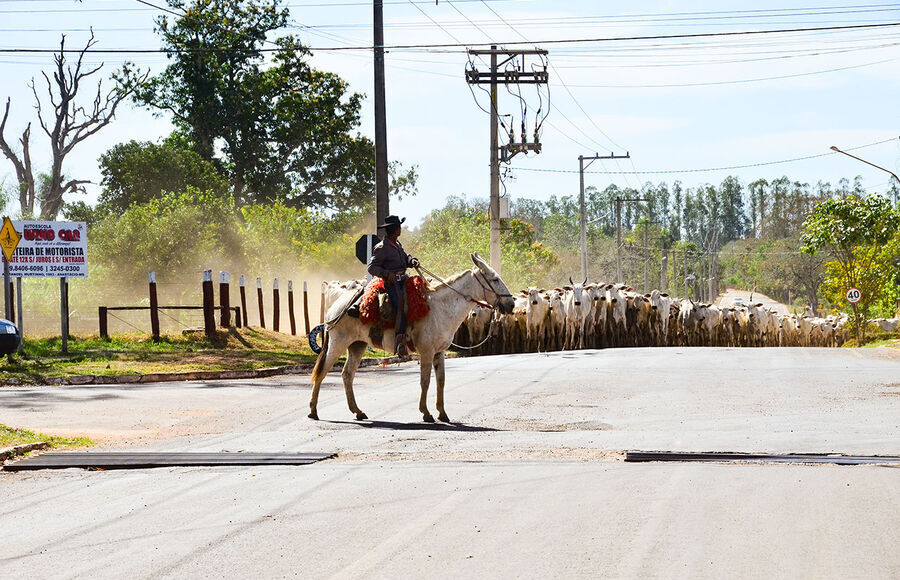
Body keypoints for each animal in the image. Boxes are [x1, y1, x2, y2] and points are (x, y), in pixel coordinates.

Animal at [310, 253, 512, 422]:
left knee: (347, 374)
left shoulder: (439, 352)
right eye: (495, 279)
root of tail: (336, 307)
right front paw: (426, 413)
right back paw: (313, 411)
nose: (511, 304)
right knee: (323, 371)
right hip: (338, 342)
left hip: (357, 345)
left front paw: (442, 413)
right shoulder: (426, 352)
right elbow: (425, 381)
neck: (441, 308)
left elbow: (441, 381)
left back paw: (357, 411)